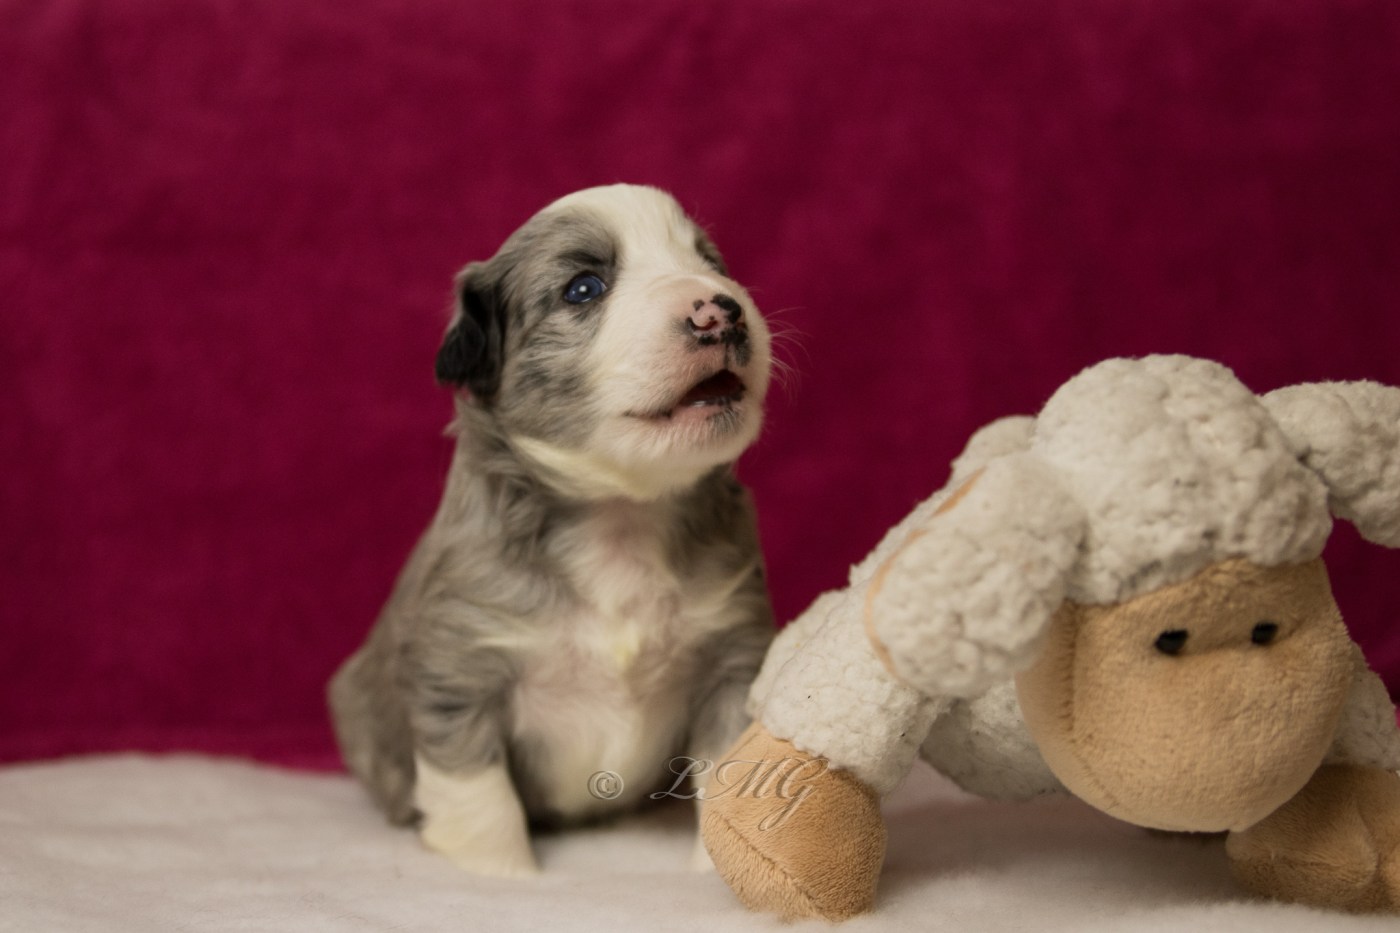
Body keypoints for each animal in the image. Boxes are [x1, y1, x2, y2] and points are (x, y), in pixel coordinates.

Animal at [328, 184, 776, 876]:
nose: (720, 310)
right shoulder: (457, 669)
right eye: (583, 289)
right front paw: (504, 878)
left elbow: (733, 776)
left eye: (711, 262)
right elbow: (480, 799)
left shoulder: (732, 660)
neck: (621, 514)